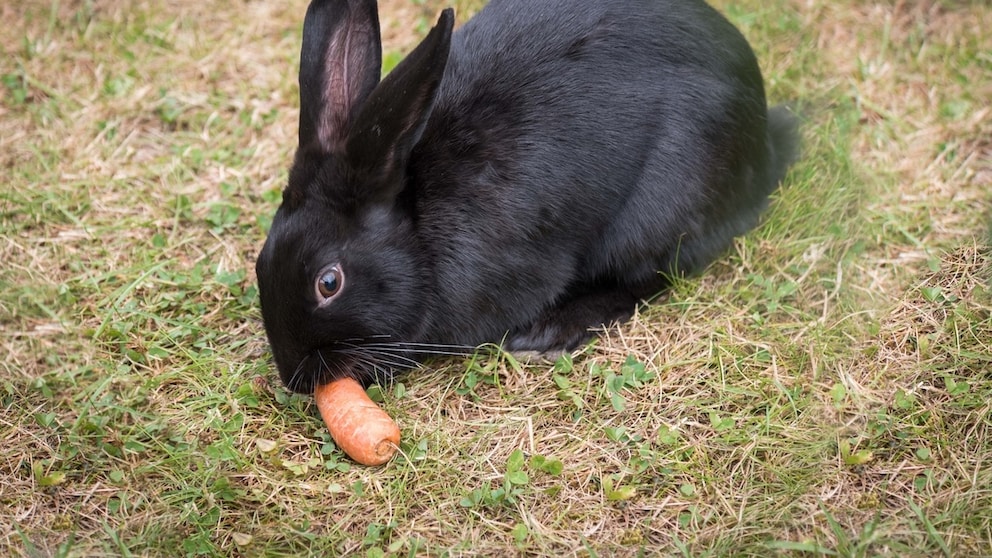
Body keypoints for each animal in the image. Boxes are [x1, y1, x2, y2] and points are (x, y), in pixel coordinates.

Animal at [255, 0, 798, 394]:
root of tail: (765, 138)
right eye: (261, 262)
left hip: (663, 207)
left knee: (653, 276)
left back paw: (551, 332)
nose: (295, 379)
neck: (418, 233)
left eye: (329, 283)